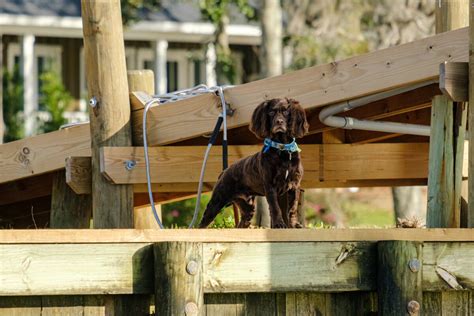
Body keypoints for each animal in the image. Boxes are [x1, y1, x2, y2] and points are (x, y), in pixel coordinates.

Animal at [198, 97, 310, 228]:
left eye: (286, 112)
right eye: (271, 112)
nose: (279, 122)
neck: (283, 149)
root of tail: (224, 171)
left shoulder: (294, 185)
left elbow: (292, 208)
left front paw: (294, 225)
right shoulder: (270, 186)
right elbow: (275, 208)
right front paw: (279, 224)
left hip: (247, 207)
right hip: (217, 200)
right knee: (202, 224)